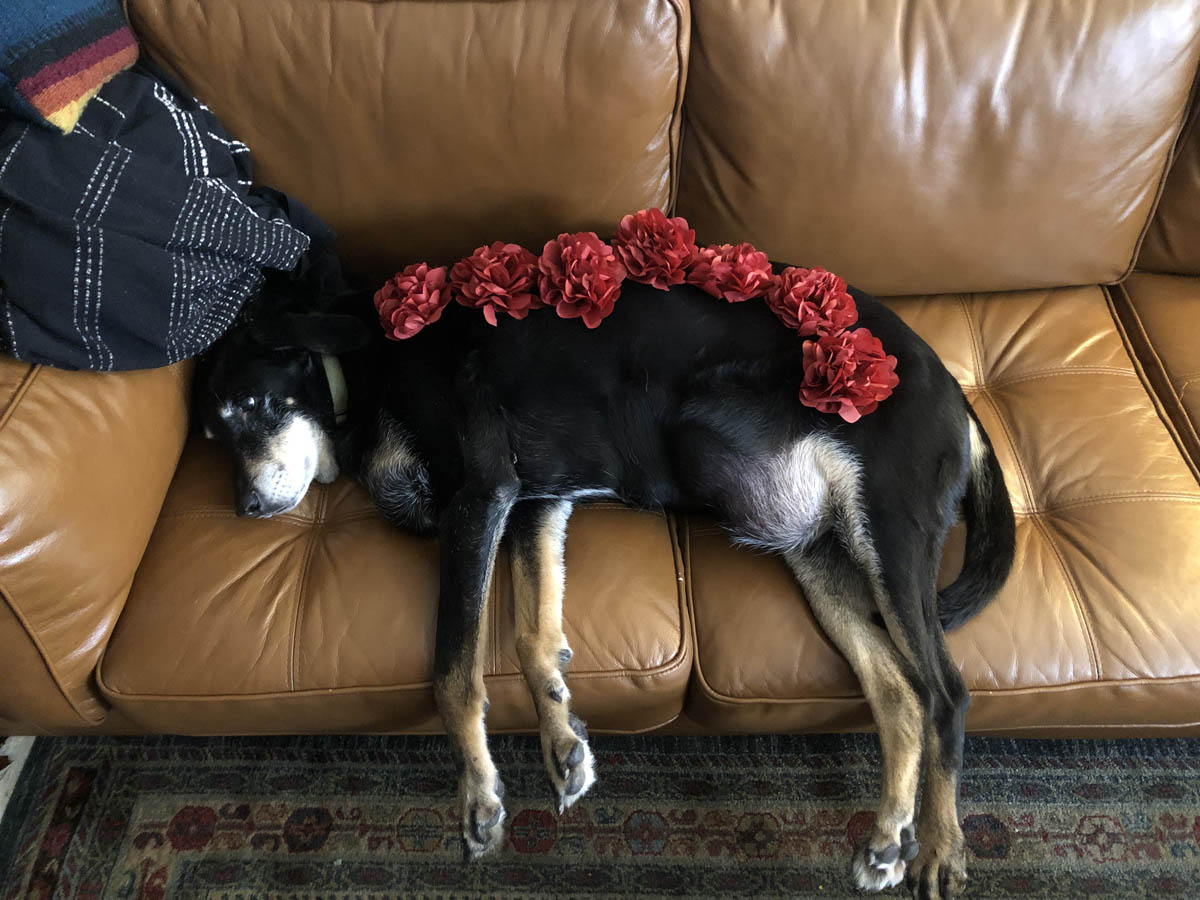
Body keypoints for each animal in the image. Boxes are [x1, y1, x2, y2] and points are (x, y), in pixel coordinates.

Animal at [196, 277, 1012, 900]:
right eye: (212, 433)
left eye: (257, 405)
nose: (247, 509)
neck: (367, 367)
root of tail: (959, 393)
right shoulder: (534, 502)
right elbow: (533, 637)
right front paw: (563, 743)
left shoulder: (482, 494)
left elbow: (453, 671)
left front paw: (480, 799)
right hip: (813, 546)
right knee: (898, 693)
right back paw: (886, 840)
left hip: (886, 529)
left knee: (946, 691)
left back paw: (940, 846)